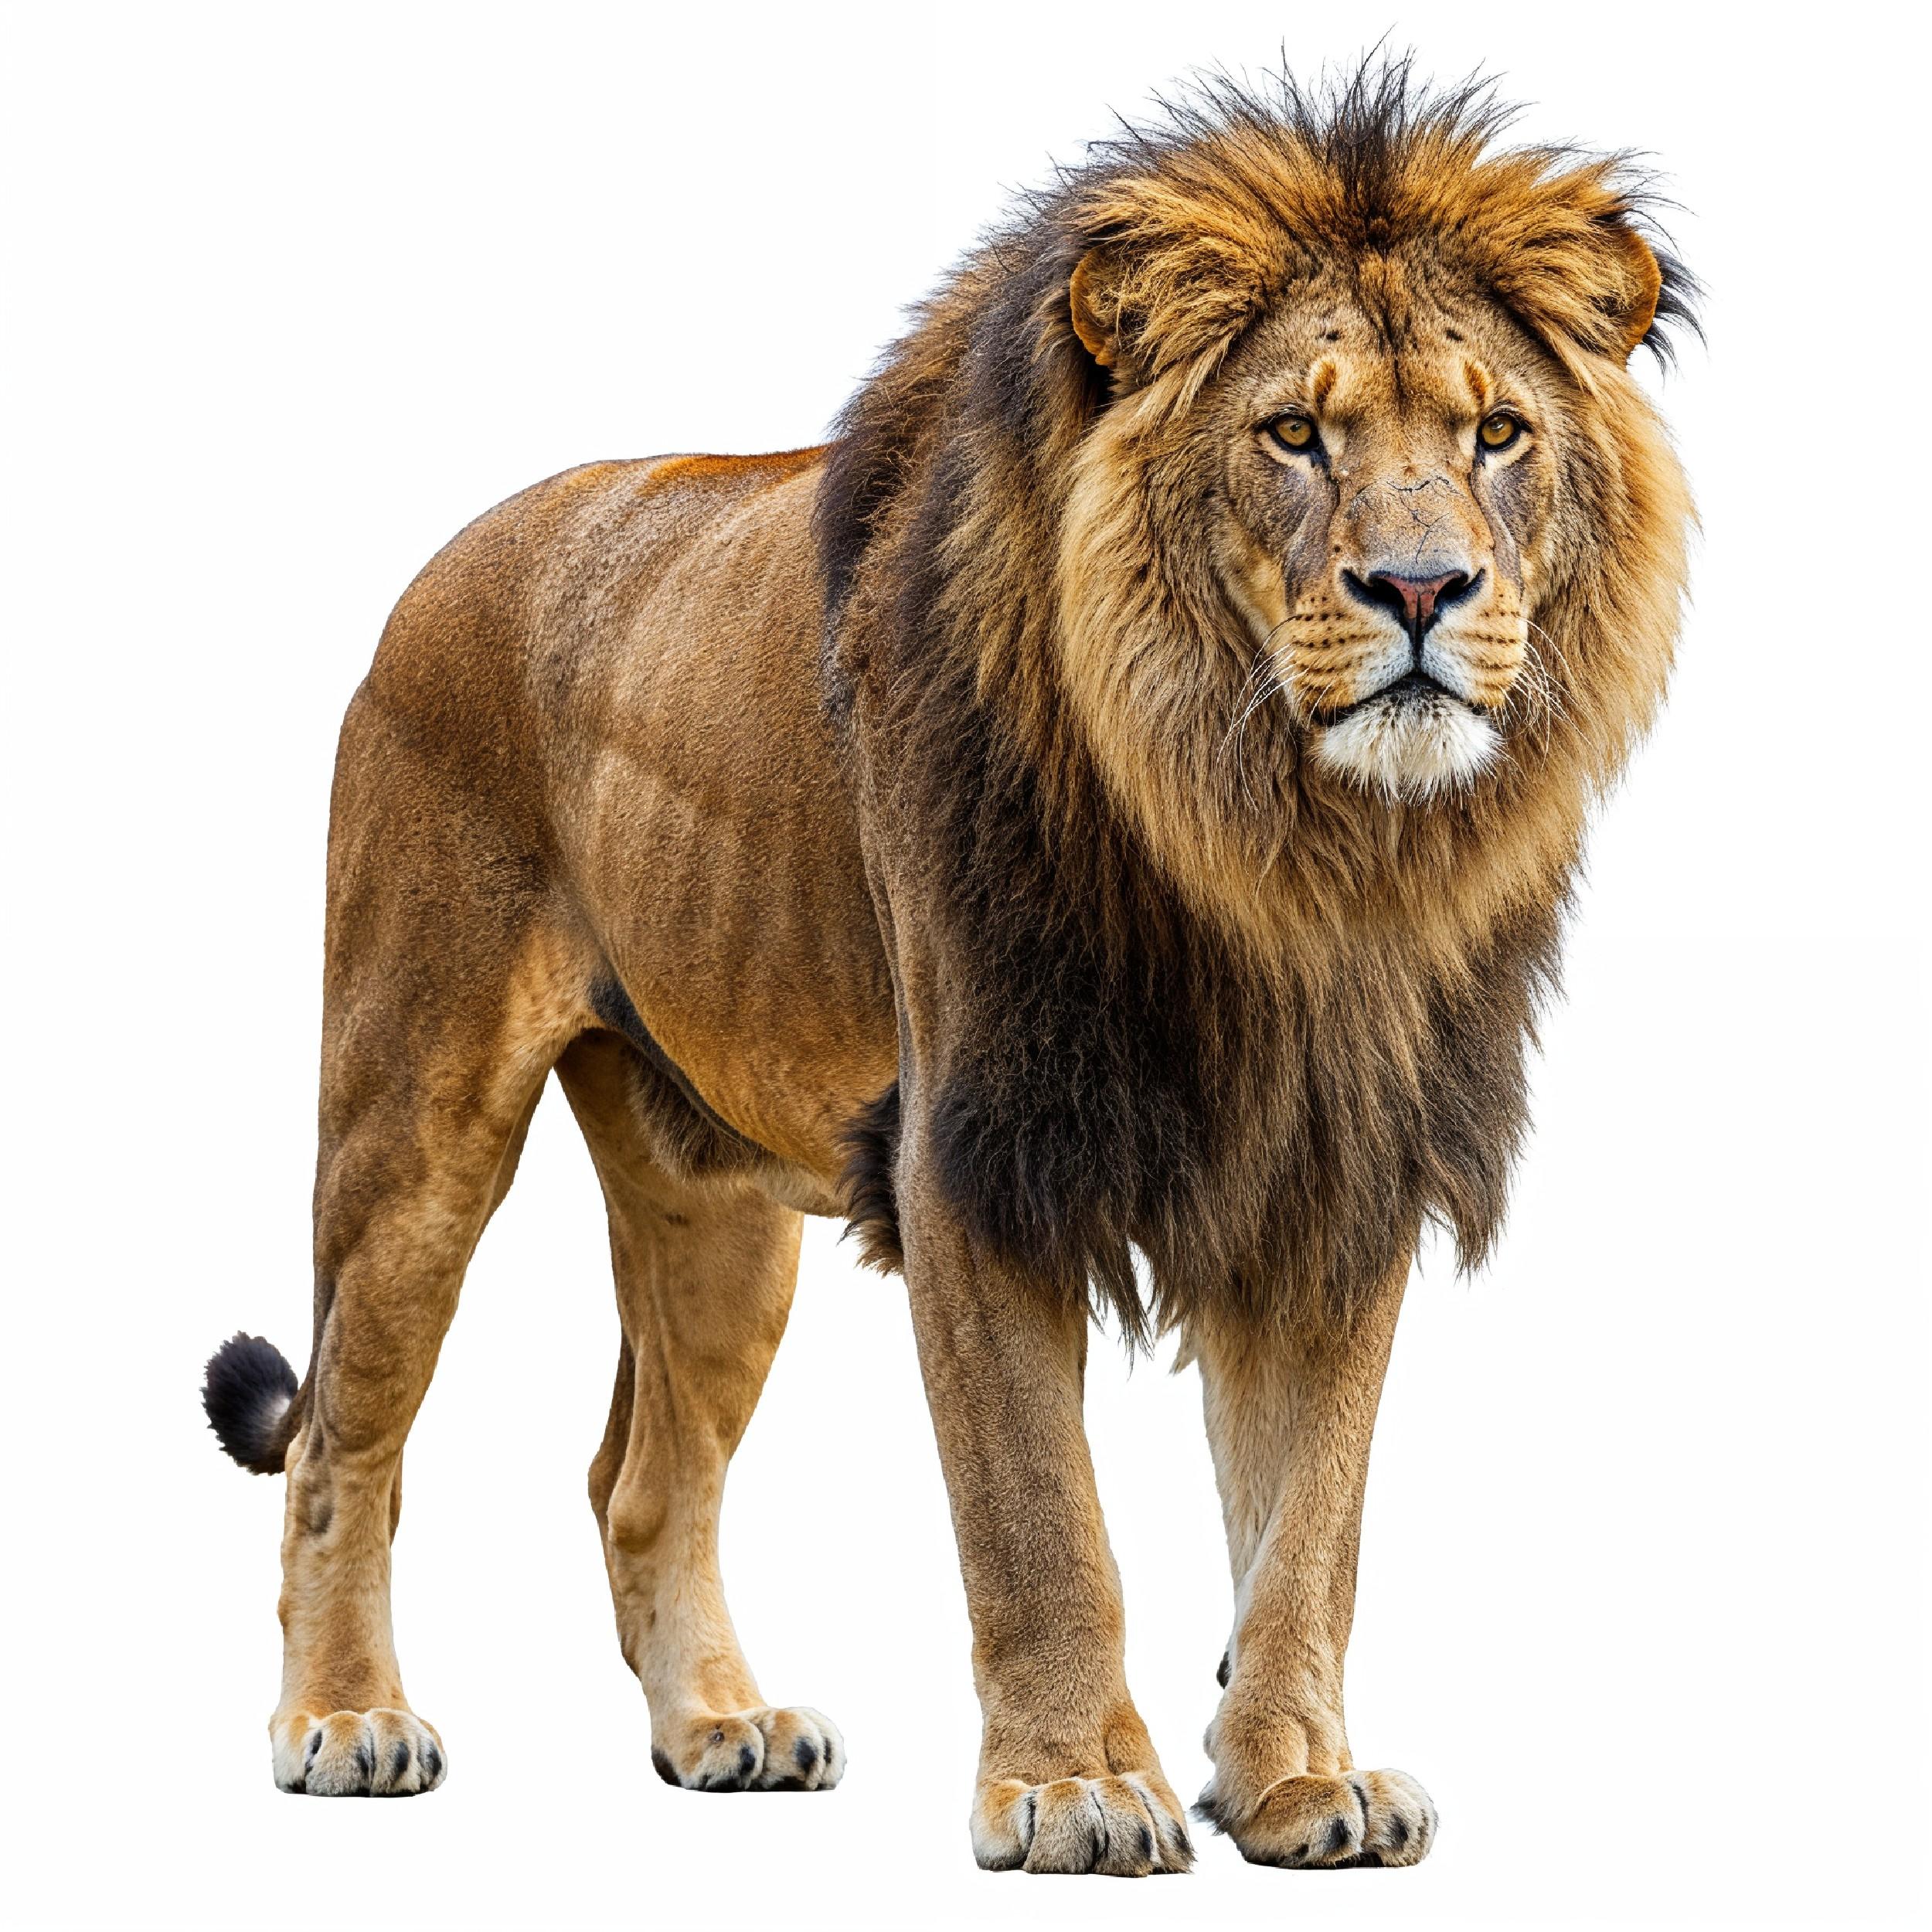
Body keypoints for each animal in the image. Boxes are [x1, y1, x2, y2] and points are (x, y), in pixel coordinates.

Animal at [201, 59, 1694, 1873]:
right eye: (1294, 433)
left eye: (1494, 434)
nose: (1421, 586)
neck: (1284, 855)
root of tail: (450, 558)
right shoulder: (976, 1148)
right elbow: (1040, 1517)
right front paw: (1070, 1788)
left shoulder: (1334, 1167)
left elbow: (1309, 1525)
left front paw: (1294, 1778)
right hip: (413, 1114)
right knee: (345, 1442)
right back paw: (346, 1719)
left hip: (717, 1207)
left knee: (643, 1477)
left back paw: (720, 1725)